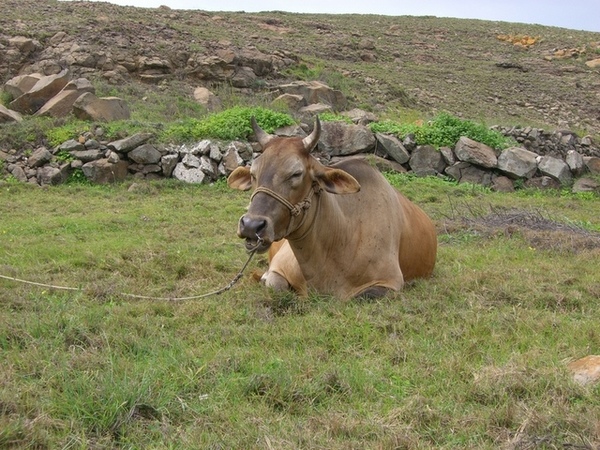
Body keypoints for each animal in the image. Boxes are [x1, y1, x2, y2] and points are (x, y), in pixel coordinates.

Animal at [227, 118, 438, 298]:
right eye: (253, 173)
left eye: (296, 173)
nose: (251, 225)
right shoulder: (279, 268)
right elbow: (276, 285)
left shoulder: (390, 283)